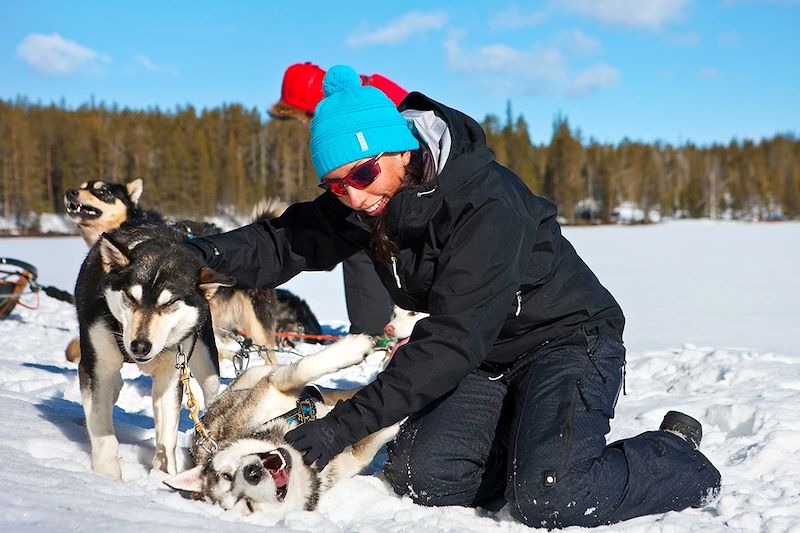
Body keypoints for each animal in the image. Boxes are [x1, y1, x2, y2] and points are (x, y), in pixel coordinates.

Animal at [75, 220, 236, 478]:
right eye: (131, 297)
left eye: (169, 302)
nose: (140, 346)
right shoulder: (97, 366)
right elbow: (102, 431)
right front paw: (108, 477)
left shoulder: (171, 375)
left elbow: (167, 437)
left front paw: (162, 477)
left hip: (207, 363)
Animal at [166, 334, 400, 512]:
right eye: (246, 504)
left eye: (226, 475)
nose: (252, 473)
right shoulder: (353, 458)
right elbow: (374, 433)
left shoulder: (272, 388)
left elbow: (302, 368)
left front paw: (354, 348)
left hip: (257, 376)